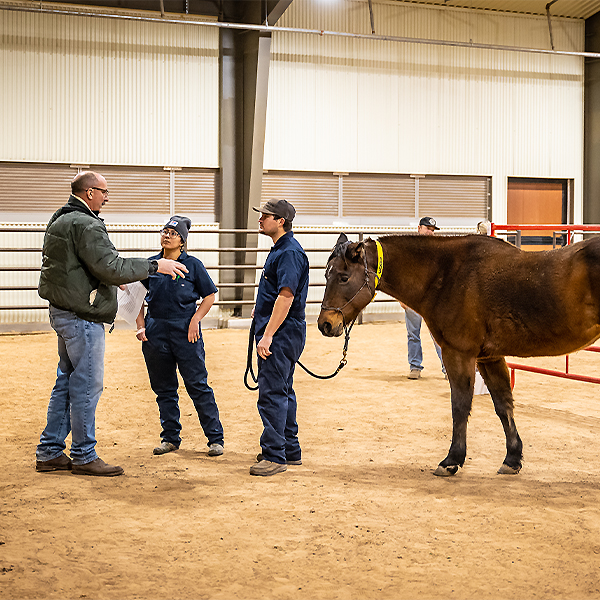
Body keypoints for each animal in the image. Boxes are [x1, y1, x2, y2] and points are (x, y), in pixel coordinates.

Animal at [318, 233, 600, 478]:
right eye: (327, 274)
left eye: (343, 277)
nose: (325, 324)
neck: (446, 275)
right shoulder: (488, 358)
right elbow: (503, 405)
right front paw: (512, 459)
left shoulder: (458, 354)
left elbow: (460, 406)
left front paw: (451, 460)